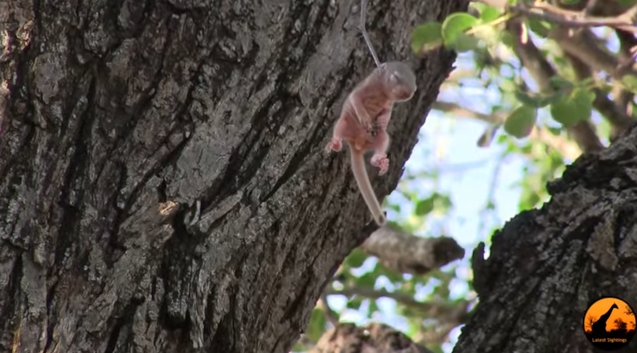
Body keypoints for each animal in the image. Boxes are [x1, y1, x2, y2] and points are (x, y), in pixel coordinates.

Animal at [326, 0, 414, 226]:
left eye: (415, 84)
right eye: (395, 76)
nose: (408, 93)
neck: (382, 92)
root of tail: (356, 146)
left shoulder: (389, 104)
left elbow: (386, 113)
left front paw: (381, 119)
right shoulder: (365, 88)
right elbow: (355, 99)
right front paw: (365, 116)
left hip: (379, 139)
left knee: (383, 140)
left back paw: (380, 160)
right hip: (345, 123)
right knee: (339, 128)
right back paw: (336, 142)